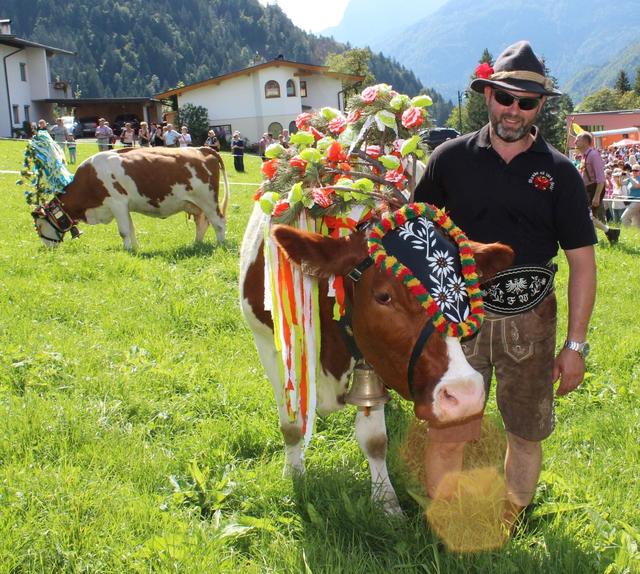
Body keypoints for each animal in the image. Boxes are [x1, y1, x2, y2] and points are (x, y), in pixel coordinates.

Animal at [20, 136, 229, 251]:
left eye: (38, 226)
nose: (47, 247)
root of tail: (203, 148)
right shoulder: (125, 206)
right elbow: (131, 228)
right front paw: (135, 248)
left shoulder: (116, 203)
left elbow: (123, 231)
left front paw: (127, 249)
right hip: (195, 204)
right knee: (202, 223)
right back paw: (196, 244)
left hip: (208, 200)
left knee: (218, 223)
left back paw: (221, 244)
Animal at [240, 86, 516, 516]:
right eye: (383, 295)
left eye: (466, 287)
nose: (467, 395)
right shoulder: (270, 344)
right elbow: (291, 421)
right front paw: (294, 475)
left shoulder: (372, 359)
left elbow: (374, 438)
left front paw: (386, 503)